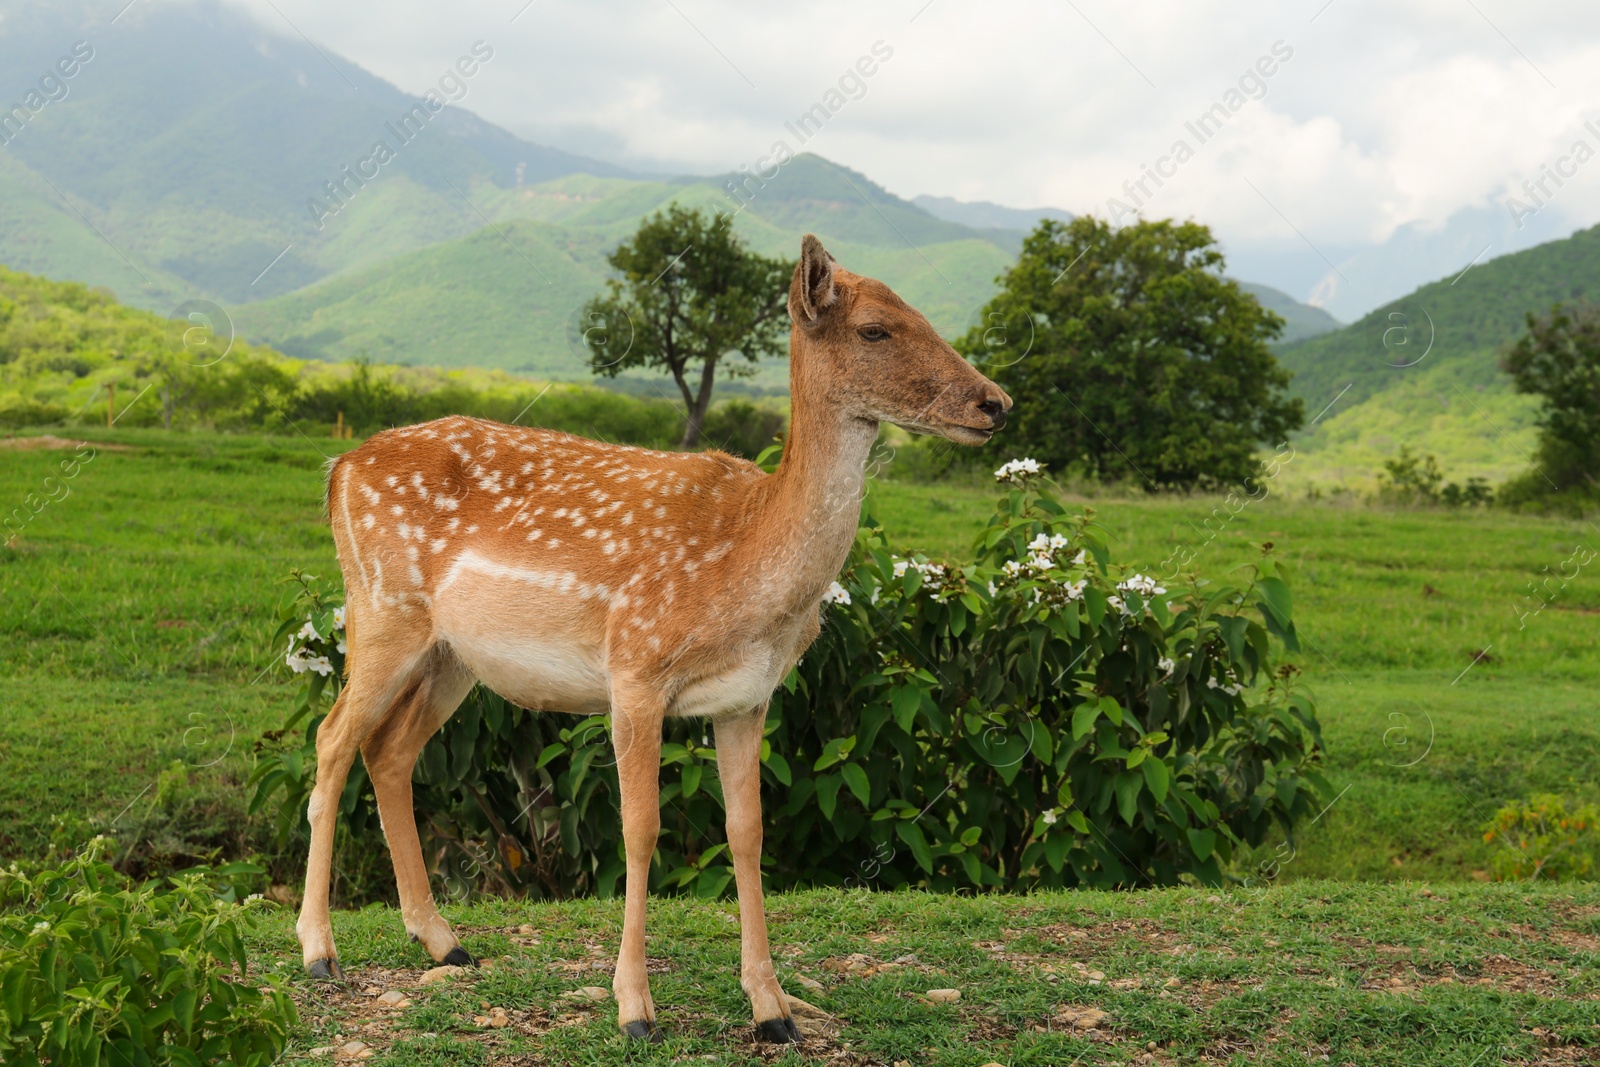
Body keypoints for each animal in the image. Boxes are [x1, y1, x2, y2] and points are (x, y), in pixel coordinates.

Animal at [300, 233, 1011, 1043]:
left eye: (925, 316)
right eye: (875, 330)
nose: (995, 403)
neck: (750, 571)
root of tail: (339, 468)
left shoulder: (748, 698)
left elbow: (747, 831)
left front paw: (772, 1009)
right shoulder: (636, 665)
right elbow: (641, 829)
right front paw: (635, 1007)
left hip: (453, 657)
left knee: (389, 751)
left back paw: (444, 940)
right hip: (381, 606)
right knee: (333, 737)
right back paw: (319, 951)